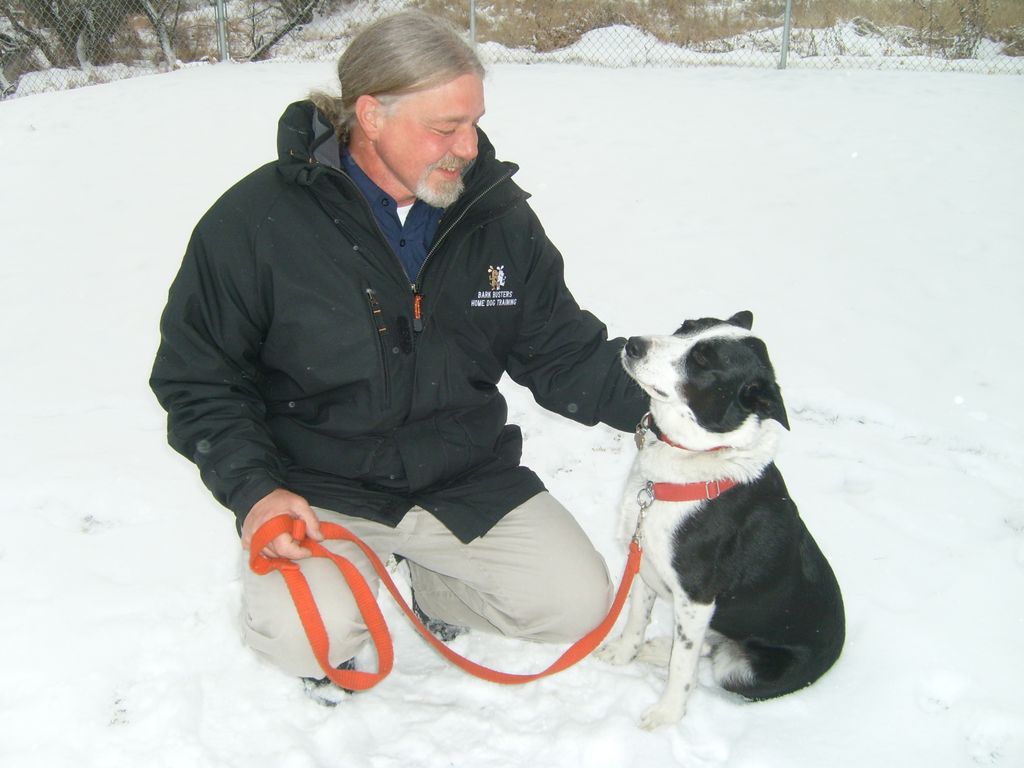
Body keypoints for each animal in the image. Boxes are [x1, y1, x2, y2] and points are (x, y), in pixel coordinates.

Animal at [598, 313, 843, 733]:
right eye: (685, 326)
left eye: (702, 360)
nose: (632, 344)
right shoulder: (645, 558)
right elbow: (636, 618)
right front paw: (623, 653)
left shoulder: (696, 595)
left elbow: (683, 666)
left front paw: (667, 713)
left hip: (742, 670)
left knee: (708, 658)